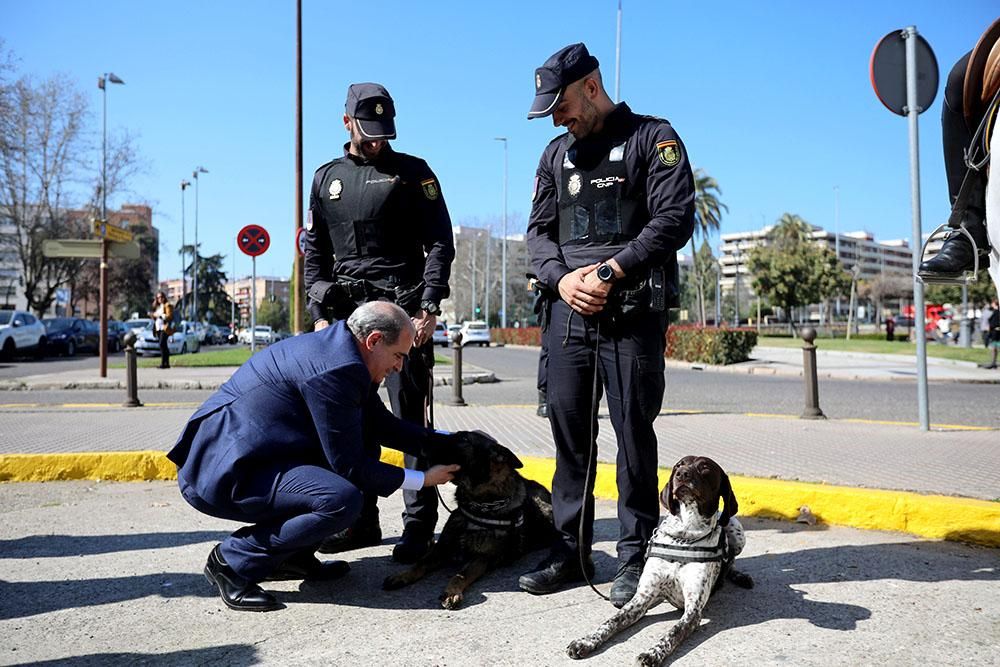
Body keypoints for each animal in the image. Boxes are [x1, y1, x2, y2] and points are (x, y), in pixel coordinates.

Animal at [380, 434, 556, 612]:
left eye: (464, 439)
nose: (426, 436)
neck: (479, 505)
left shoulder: (481, 559)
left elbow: (460, 576)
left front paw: (451, 593)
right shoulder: (441, 548)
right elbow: (420, 563)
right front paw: (402, 576)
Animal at [572, 456, 752, 664]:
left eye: (705, 467)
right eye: (679, 465)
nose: (682, 474)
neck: (685, 535)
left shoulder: (693, 610)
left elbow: (672, 633)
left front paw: (653, 653)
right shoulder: (642, 598)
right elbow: (611, 621)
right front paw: (585, 641)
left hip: (735, 529)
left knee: (731, 559)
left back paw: (739, 576)